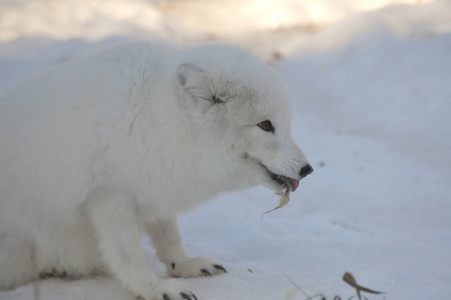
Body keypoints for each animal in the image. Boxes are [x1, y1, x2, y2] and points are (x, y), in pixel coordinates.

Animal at [0, 43, 312, 298]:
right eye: (265, 125)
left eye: (285, 124)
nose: (307, 169)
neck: (157, 120)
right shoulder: (109, 198)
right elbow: (128, 255)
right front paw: (154, 288)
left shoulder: (157, 188)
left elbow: (170, 236)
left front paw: (184, 265)